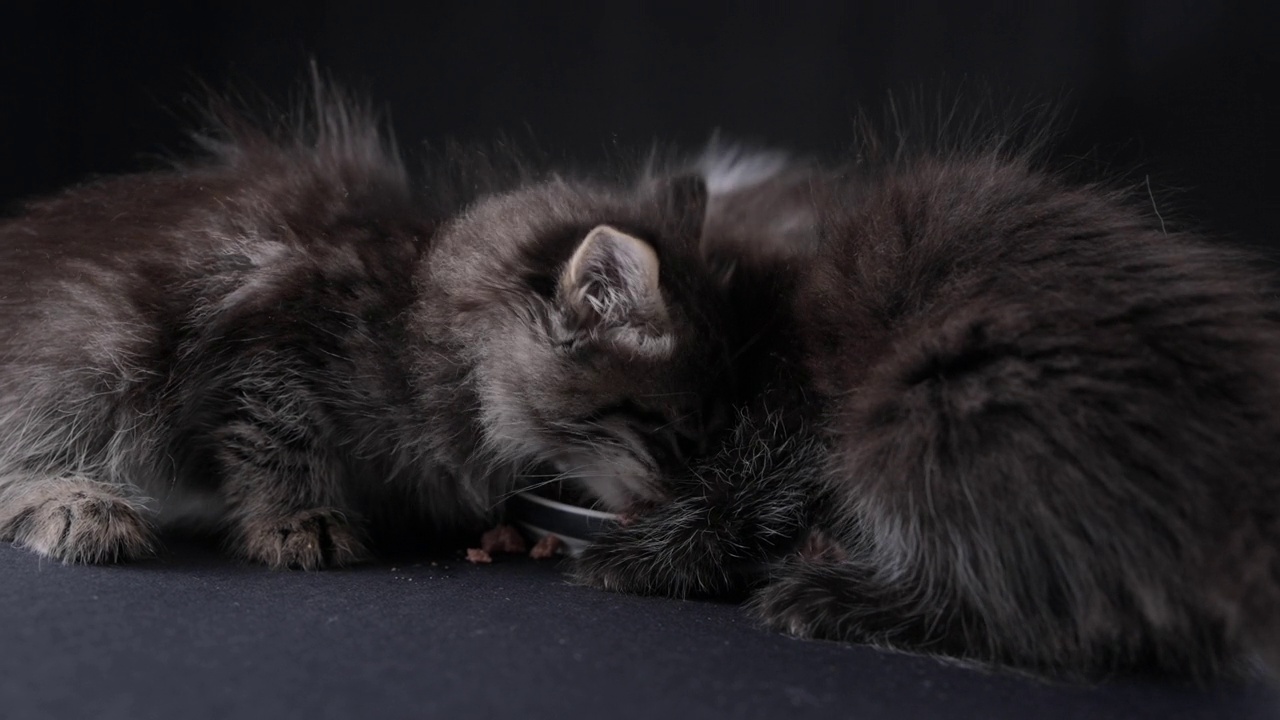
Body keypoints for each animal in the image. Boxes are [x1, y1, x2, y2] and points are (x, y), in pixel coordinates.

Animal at [576, 126, 1280, 681]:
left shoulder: (799, 394)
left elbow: (749, 481)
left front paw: (635, 556)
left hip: (940, 414)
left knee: (1015, 601)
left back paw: (833, 598)